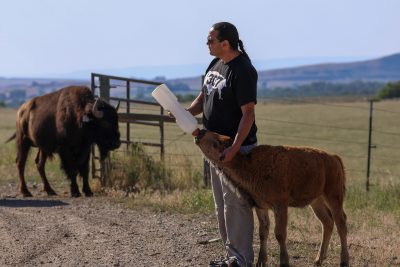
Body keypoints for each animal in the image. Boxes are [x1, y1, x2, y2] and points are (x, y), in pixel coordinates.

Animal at [195, 129, 348, 266]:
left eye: (218, 142)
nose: (200, 132)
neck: (249, 165)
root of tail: (335, 158)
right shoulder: (260, 206)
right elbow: (263, 232)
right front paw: (260, 261)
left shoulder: (280, 205)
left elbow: (279, 233)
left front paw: (284, 262)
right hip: (316, 202)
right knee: (327, 222)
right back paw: (318, 260)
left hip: (333, 197)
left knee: (341, 223)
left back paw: (344, 261)